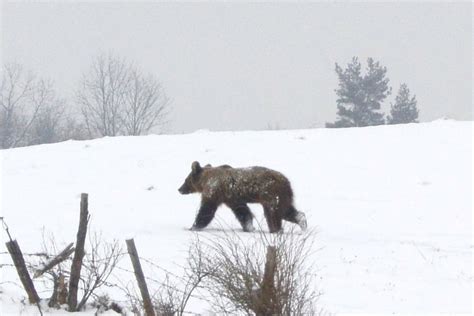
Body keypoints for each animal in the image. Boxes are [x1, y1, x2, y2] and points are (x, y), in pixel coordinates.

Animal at [178, 162, 308, 233]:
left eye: (185, 180)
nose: (179, 189)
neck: (204, 181)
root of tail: (287, 181)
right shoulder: (232, 198)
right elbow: (243, 212)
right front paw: (249, 227)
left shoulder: (214, 191)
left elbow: (206, 211)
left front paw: (193, 227)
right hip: (282, 196)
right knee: (286, 210)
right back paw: (302, 223)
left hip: (271, 194)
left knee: (273, 213)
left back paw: (275, 230)